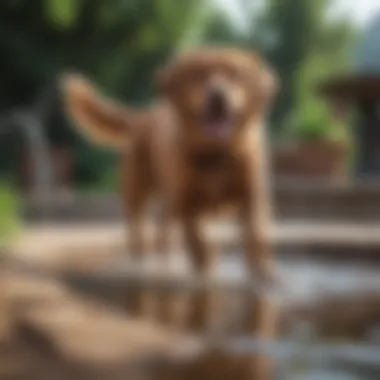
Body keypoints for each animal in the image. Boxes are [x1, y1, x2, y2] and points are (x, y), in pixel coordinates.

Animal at [61, 47, 280, 284]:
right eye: (199, 76)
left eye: (235, 75)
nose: (217, 94)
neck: (216, 152)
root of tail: (143, 116)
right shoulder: (187, 200)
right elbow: (196, 236)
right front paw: (205, 265)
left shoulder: (252, 195)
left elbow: (256, 234)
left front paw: (262, 271)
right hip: (138, 191)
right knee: (137, 224)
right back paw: (141, 256)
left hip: (167, 199)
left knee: (162, 227)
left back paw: (167, 255)